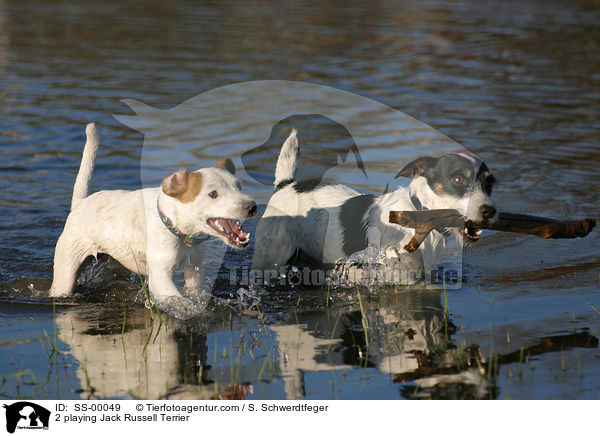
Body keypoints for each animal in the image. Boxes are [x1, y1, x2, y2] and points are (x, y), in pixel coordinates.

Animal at [50, 122, 256, 300]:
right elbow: (177, 300)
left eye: (239, 186)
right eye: (213, 194)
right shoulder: (160, 277)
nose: (252, 206)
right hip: (65, 273)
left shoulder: (195, 268)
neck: (175, 227)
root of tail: (80, 204)